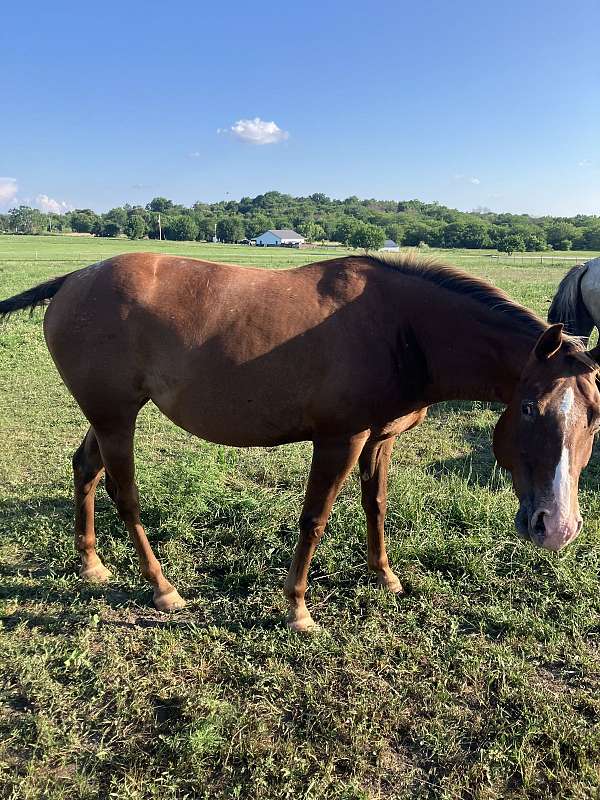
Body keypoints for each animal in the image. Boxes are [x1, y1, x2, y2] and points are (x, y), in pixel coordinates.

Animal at [2, 252, 600, 631]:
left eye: (593, 419)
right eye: (530, 408)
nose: (557, 527)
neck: (403, 328)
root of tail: (75, 279)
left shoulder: (378, 440)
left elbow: (376, 506)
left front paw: (384, 575)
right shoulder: (340, 440)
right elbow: (315, 518)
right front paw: (297, 609)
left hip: (108, 417)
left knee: (85, 469)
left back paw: (91, 564)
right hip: (117, 418)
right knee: (124, 496)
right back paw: (162, 587)